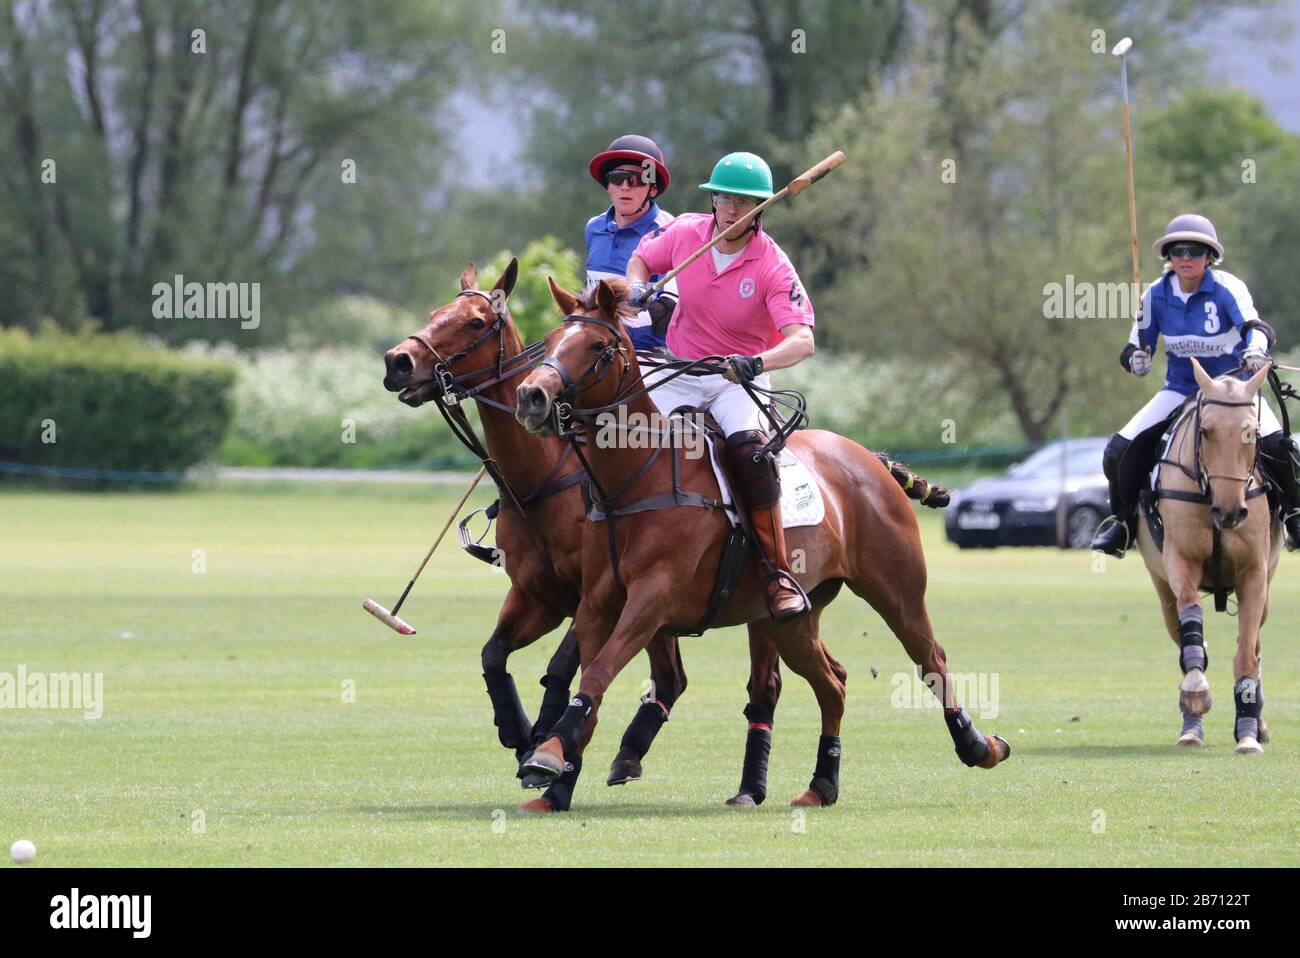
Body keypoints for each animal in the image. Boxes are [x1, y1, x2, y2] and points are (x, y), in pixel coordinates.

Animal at [512, 278, 1008, 805]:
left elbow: (599, 671)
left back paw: (979, 746)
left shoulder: (653, 599)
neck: (633, 481)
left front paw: (547, 756)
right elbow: (592, 679)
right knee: (833, 683)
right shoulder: (597, 604)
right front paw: (553, 783)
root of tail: (869, 458)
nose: (531, 397)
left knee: (931, 659)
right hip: (792, 618)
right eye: (550, 339)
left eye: (597, 347)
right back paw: (821, 785)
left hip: (897, 589)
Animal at [1138, 358, 1279, 753]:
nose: (1230, 513)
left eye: (1252, 433)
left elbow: (1246, 652)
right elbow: (1192, 628)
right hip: (1162, 590)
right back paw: (1191, 729)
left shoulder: (1254, 574)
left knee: (1256, 647)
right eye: (1206, 431)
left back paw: (1257, 724)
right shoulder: (1179, 563)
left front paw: (1247, 734)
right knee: (1185, 639)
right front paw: (1196, 694)